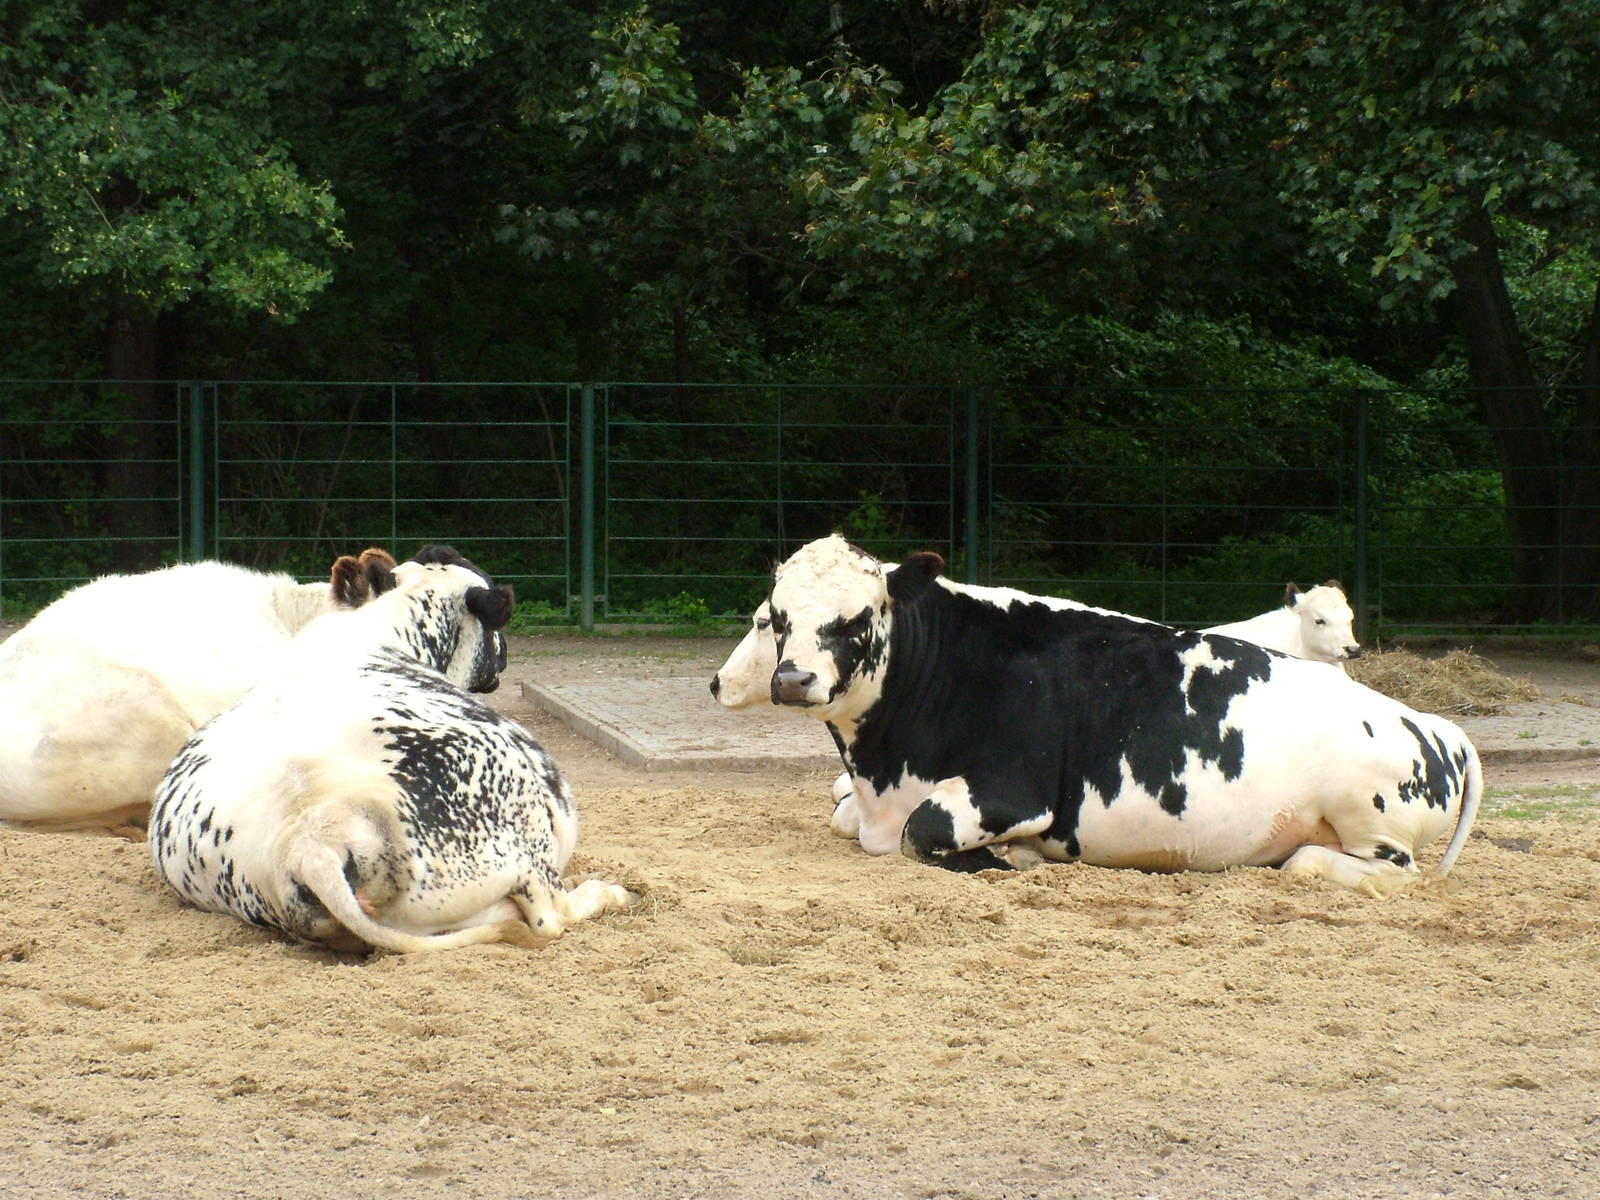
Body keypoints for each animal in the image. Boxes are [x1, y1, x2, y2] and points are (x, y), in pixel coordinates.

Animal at [148, 545, 632, 953]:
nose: (505, 655)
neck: (380, 629)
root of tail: (310, 839)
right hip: (527, 846)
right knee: (551, 915)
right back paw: (609, 892)